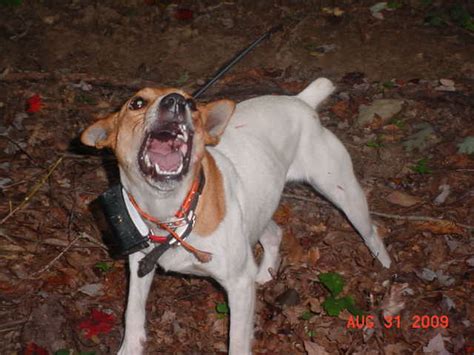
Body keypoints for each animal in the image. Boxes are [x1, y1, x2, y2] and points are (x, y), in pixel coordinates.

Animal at [81, 78, 390, 355]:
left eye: (193, 103)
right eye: (137, 103)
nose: (177, 101)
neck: (170, 216)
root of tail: (300, 101)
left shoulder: (238, 286)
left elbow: (238, 343)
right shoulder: (139, 264)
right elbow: (132, 312)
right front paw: (130, 347)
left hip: (343, 193)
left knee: (372, 231)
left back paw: (386, 269)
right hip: (257, 207)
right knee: (274, 234)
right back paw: (265, 273)